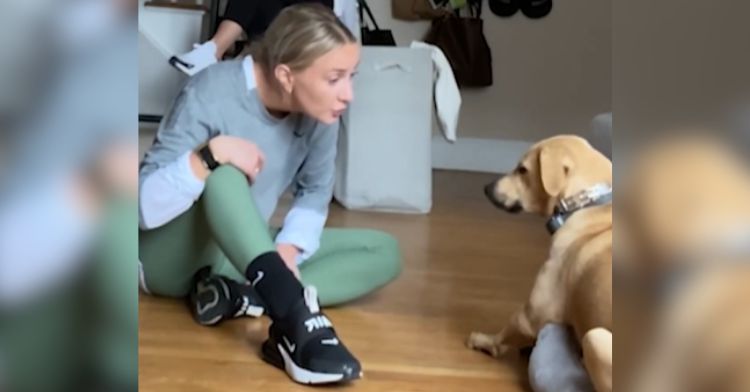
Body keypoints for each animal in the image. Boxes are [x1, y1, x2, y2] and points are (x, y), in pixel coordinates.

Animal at [470, 136, 616, 392]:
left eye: (522, 170)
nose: (486, 188)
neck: (586, 202)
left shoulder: (532, 313)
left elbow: (506, 332)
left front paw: (483, 340)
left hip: (595, 338)